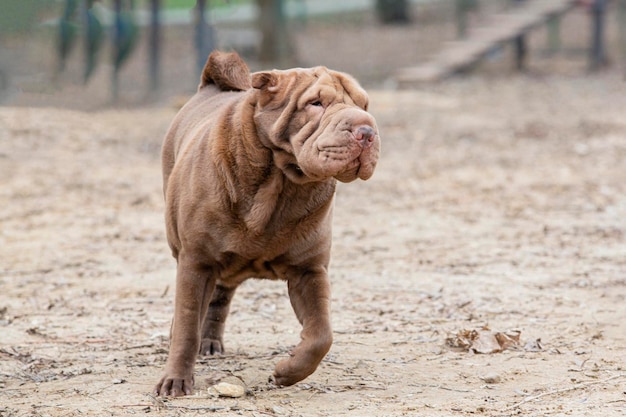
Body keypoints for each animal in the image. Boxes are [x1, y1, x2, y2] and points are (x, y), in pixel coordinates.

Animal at [156, 50, 380, 394]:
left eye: (364, 105)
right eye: (316, 103)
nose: (366, 130)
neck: (282, 183)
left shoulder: (308, 270)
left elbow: (321, 334)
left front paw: (287, 372)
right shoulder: (195, 260)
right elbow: (186, 325)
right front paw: (176, 381)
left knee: (220, 297)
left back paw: (211, 342)